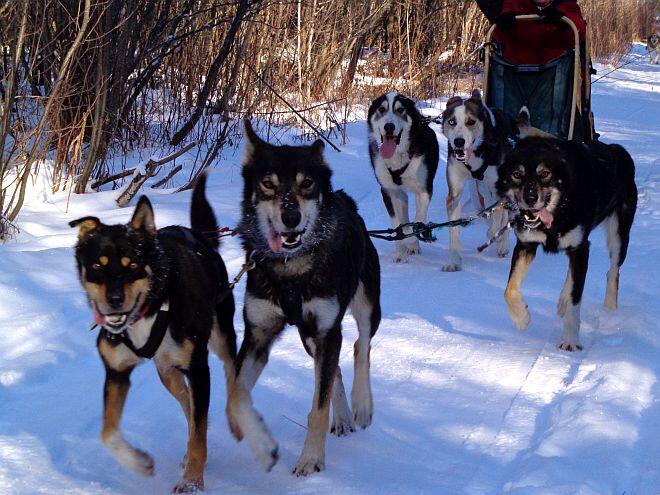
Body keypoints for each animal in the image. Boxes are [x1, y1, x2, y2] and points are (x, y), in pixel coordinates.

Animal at [227, 120, 382, 476]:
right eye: (268, 184)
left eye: (307, 183)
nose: (291, 218)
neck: (291, 271)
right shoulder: (258, 335)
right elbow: (235, 395)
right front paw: (259, 442)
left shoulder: (327, 330)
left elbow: (317, 408)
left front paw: (310, 459)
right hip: (309, 337)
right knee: (335, 368)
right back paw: (343, 417)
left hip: (365, 306)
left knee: (361, 345)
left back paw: (361, 405)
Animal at [366, 93, 438, 264]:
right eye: (382, 109)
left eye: (400, 110)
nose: (389, 127)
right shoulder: (388, 191)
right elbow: (396, 224)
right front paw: (400, 252)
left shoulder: (424, 190)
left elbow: (419, 219)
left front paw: (412, 240)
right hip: (400, 194)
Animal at [440, 89, 520, 272]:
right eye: (452, 121)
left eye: (471, 121)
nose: (458, 142)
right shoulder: (454, 194)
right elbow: (453, 229)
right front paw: (454, 261)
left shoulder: (500, 190)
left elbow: (498, 221)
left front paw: (498, 238)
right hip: (482, 187)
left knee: (505, 216)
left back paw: (503, 244)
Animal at [498, 138, 636, 350]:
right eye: (516, 174)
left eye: (545, 173)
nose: (530, 199)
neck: (558, 212)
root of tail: (617, 149)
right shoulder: (525, 245)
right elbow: (509, 290)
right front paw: (521, 317)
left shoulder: (581, 248)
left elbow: (575, 299)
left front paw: (570, 340)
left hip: (618, 237)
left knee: (613, 272)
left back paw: (610, 309)